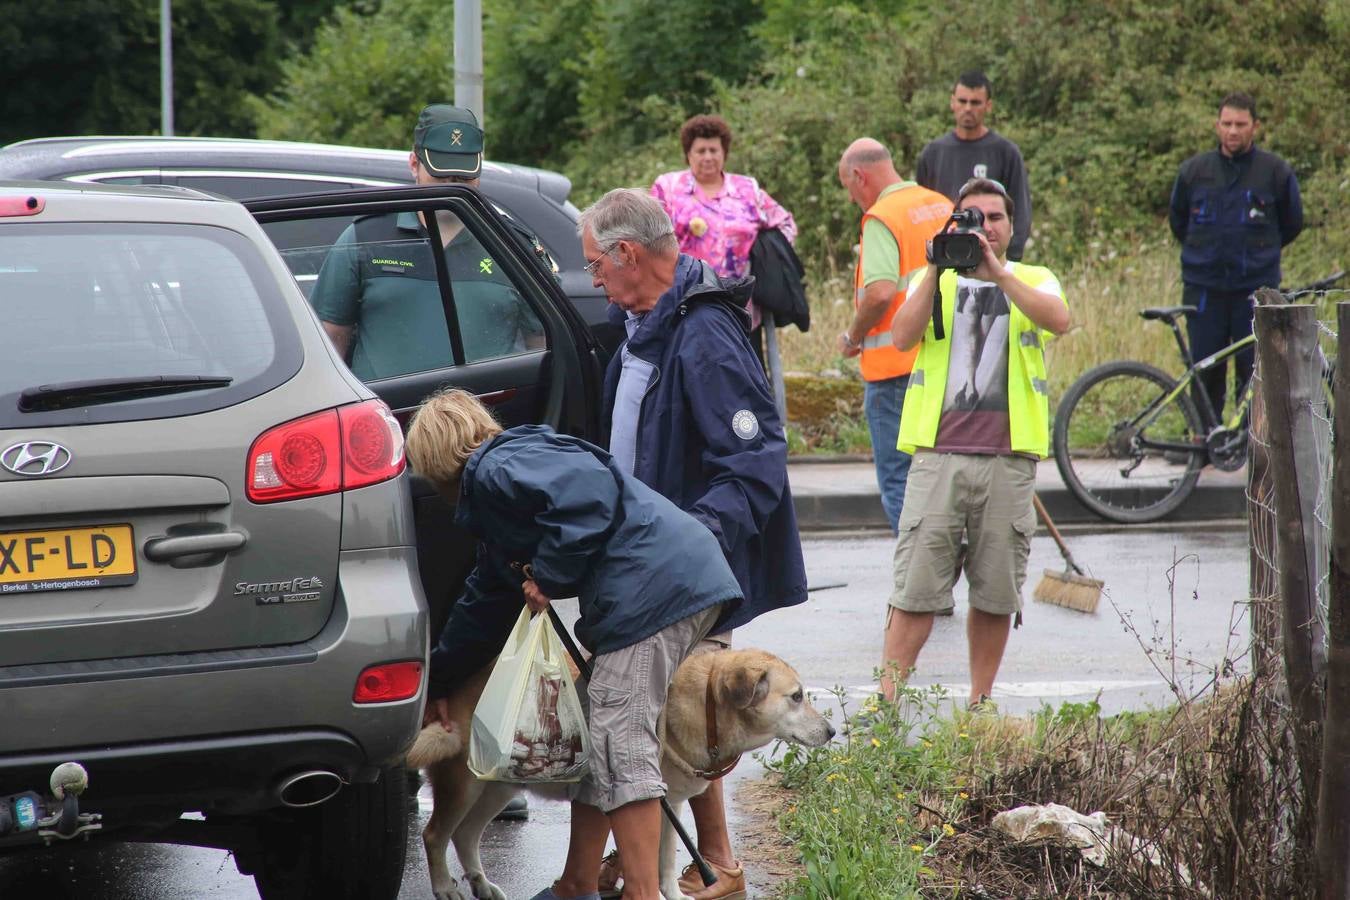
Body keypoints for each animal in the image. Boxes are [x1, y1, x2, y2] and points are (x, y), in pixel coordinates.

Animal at [405, 647, 837, 900]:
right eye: (796, 697)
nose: (833, 732)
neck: (706, 706)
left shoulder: (670, 805)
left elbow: (665, 864)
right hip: (463, 785)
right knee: (435, 834)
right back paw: (444, 886)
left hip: (497, 786)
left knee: (464, 834)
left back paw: (481, 883)